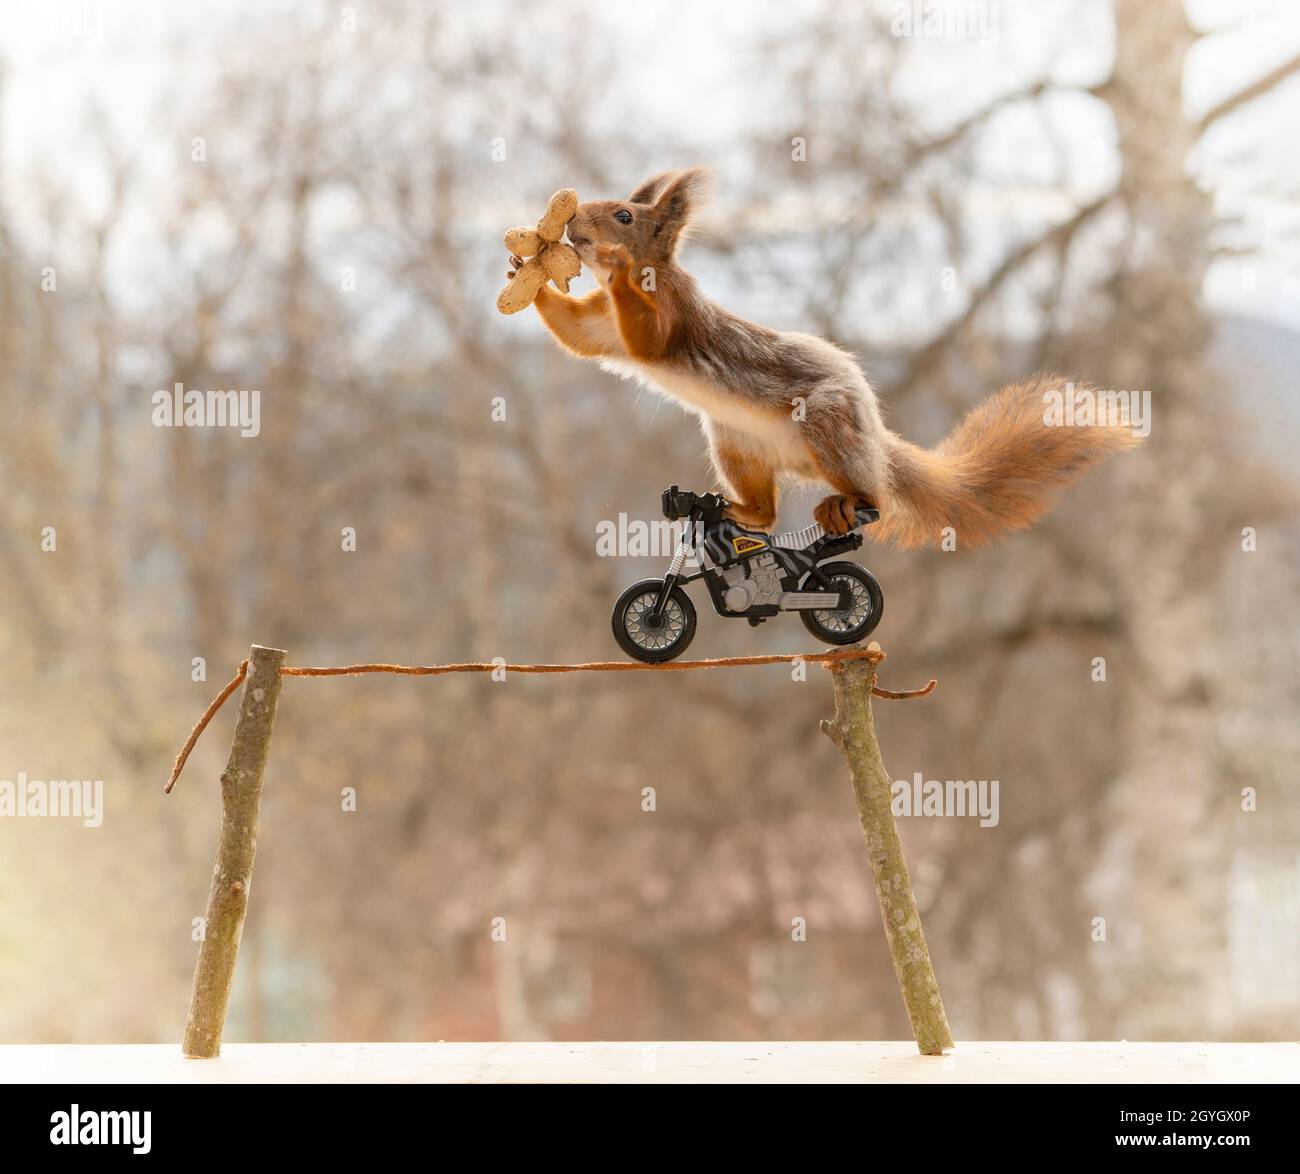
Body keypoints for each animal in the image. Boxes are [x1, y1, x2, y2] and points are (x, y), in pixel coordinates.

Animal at [508, 166, 1139, 545]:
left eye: (624, 216)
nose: (572, 223)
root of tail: (876, 443)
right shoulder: (602, 328)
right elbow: (578, 334)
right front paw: (523, 273)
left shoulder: (673, 311)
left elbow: (650, 336)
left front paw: (612, 264)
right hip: (736, 444)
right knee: (766, 510)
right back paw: (744, 511)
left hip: (830, 424)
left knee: (874, 496)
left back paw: (846, 503)